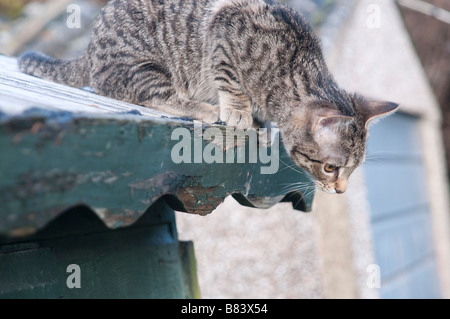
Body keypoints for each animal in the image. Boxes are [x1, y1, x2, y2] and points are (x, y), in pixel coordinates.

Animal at [18, 0, 398, 194]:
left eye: (353, 169)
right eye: (331, 167)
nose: (341, 190)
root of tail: (88, 52)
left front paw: (261, 125)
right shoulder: (225, 28)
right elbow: (230, 79)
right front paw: (240, 112)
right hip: (144, 64)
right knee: (146, 94)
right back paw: (204, 107)